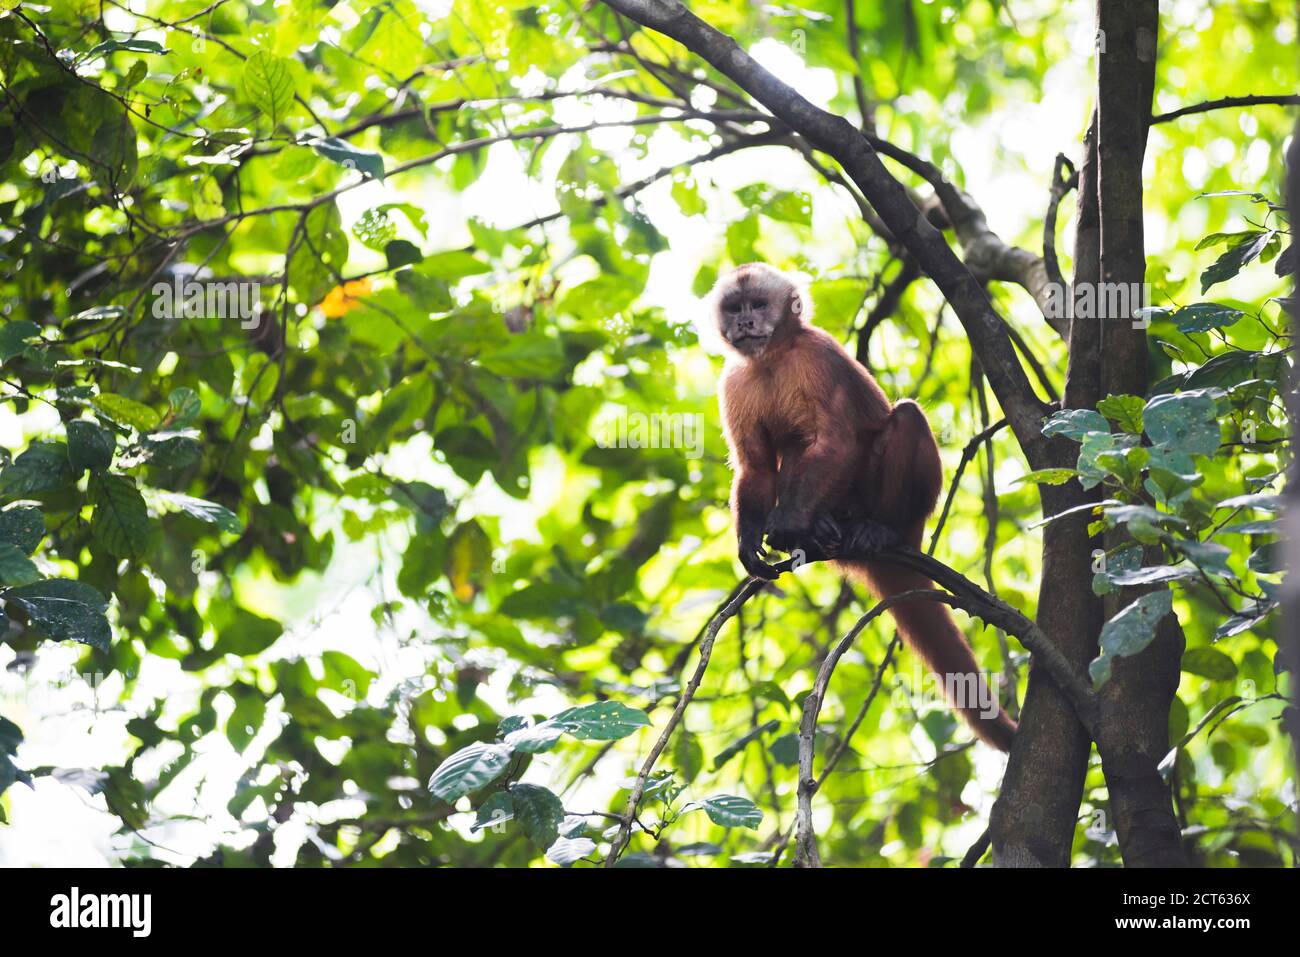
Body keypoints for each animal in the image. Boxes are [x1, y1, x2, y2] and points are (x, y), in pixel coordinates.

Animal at [712, 261, 1013, 748]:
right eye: (735, 308)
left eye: (757, 304)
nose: (745, 323)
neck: (773, 358)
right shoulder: (734, 381)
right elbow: (755, 468)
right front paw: (750, 543)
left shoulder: (817, 355)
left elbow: (838, 438)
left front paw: (788, 524)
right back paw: (822, 529)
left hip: (903, 516)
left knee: (905, 418)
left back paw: (875, 529)